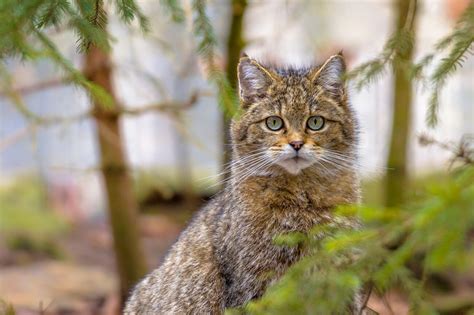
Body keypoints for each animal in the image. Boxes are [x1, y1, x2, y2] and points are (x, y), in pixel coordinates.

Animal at [124, 53, 362, 314]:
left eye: (316, 122)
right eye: (274, 123)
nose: (297, 144)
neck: (302, 198)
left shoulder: (340, 275)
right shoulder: (254, 282)